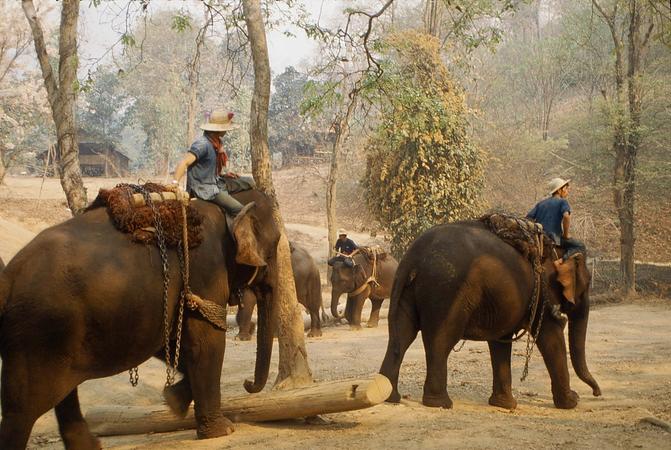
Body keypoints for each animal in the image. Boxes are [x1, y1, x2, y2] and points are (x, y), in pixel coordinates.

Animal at [0, 189, 281, 449]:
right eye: (275, 244)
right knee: (22, 411)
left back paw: (90, 446)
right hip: (39, 333)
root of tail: (8, 276)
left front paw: (174, 401)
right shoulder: (206, 270)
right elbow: (207, 342)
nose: (247, 383)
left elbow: (173, 345)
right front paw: (223, 431)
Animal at [379, 221, 601, 410]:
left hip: (408, 289)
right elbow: (551, 335)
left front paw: (505, 405)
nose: (596, 393)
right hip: (446, 292)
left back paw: (391, 397)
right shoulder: (544, 294)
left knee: (402, 335)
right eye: (586, 285)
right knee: (441, 341)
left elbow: (500, 341)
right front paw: (571, 402)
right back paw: (440, 403)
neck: (558, 249)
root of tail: (412, 257)